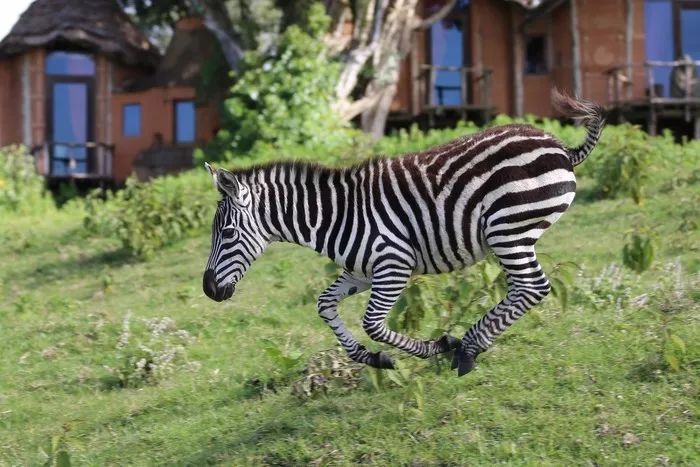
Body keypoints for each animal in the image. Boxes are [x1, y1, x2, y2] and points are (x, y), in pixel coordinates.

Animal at [201, 90, 600, 376]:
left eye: (229, 233)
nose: (209, 291)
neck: (337, 216)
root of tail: (559, 147)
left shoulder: (394, 266)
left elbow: (373, 324)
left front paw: (435, 347)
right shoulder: (361, 272)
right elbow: (325, 305)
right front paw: (371, 358)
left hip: (508, 230)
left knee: (532, 287)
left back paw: (467, 350)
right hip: (512, 234)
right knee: (523, 288)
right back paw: (471, 345)